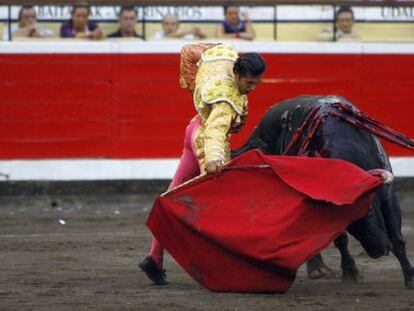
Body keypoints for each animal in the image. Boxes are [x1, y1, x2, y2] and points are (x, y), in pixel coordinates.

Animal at [233, 95, 414, 290]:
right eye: (348, 221)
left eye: (370, 210)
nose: (379, 250)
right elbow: (341, 240)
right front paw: (351, 272)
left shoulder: (389, 195)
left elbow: (397, 238)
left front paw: (410, 278)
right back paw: (317, 269)